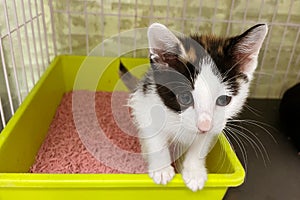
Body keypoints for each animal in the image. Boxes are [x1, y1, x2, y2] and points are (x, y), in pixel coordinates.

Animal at [119, 22, 268, 191]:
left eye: (224, 100)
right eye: (185, 98)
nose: (204, 126)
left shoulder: (214, 128)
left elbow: (200, 146)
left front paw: (194, 172)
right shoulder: (147, 105)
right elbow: (155, 137)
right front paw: (161, 169)